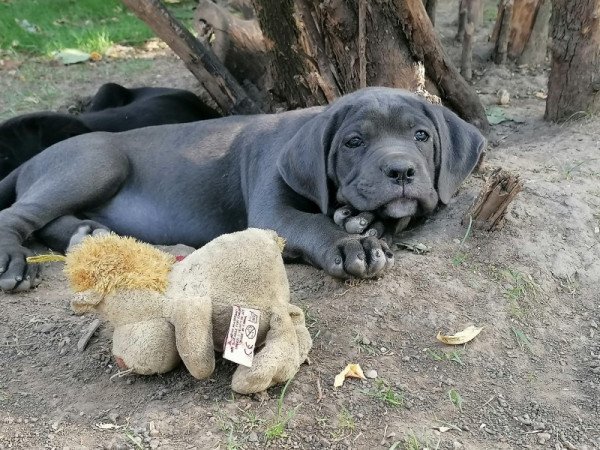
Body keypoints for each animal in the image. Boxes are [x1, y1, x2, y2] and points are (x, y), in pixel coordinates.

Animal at [0, 88, 482, 292]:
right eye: (353, 142)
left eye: (422, 135)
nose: (401, 171)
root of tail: (32, 159)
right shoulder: (272, 213)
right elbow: (312, 224)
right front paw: (350, 243)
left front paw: (361, 220)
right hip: (99, 161)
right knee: (17, 216)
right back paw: (14, 263)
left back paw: (88, 235)